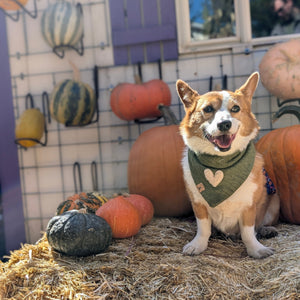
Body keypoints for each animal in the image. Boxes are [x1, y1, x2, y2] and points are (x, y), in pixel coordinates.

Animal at [177, 72, 280, 258]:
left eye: (236, 108)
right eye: (208, 109)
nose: (224, 124)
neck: (221, 163)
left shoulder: (249, 206)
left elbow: (248, 231)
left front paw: (256, 249)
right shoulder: (198, 204)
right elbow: (203, 228)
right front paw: (198, 245)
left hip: (275, 201)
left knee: (262, 223)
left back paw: (266, 230)